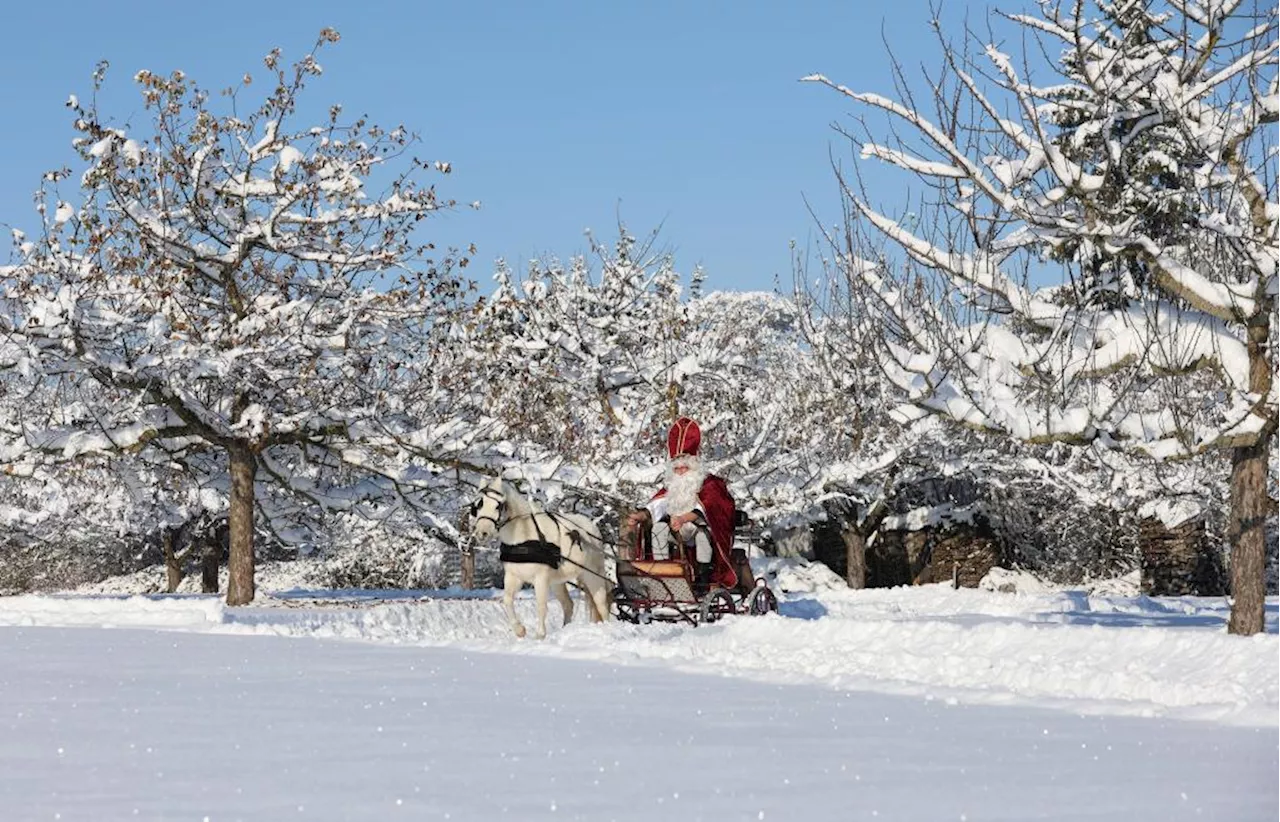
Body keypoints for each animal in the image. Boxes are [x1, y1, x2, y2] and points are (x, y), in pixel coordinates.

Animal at [468, 473, 611, 640]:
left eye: (498, 506)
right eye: (477, 506)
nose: (482, 533)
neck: (523, 537)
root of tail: (592, 528)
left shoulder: (540, 578)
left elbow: (541, 606)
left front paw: (540, 635)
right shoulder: (513, 576)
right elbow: (507, 600)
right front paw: (519, 630)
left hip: (593, 576)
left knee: (601, 605)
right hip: (558, 581)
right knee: (568, 605)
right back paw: (565, 629)